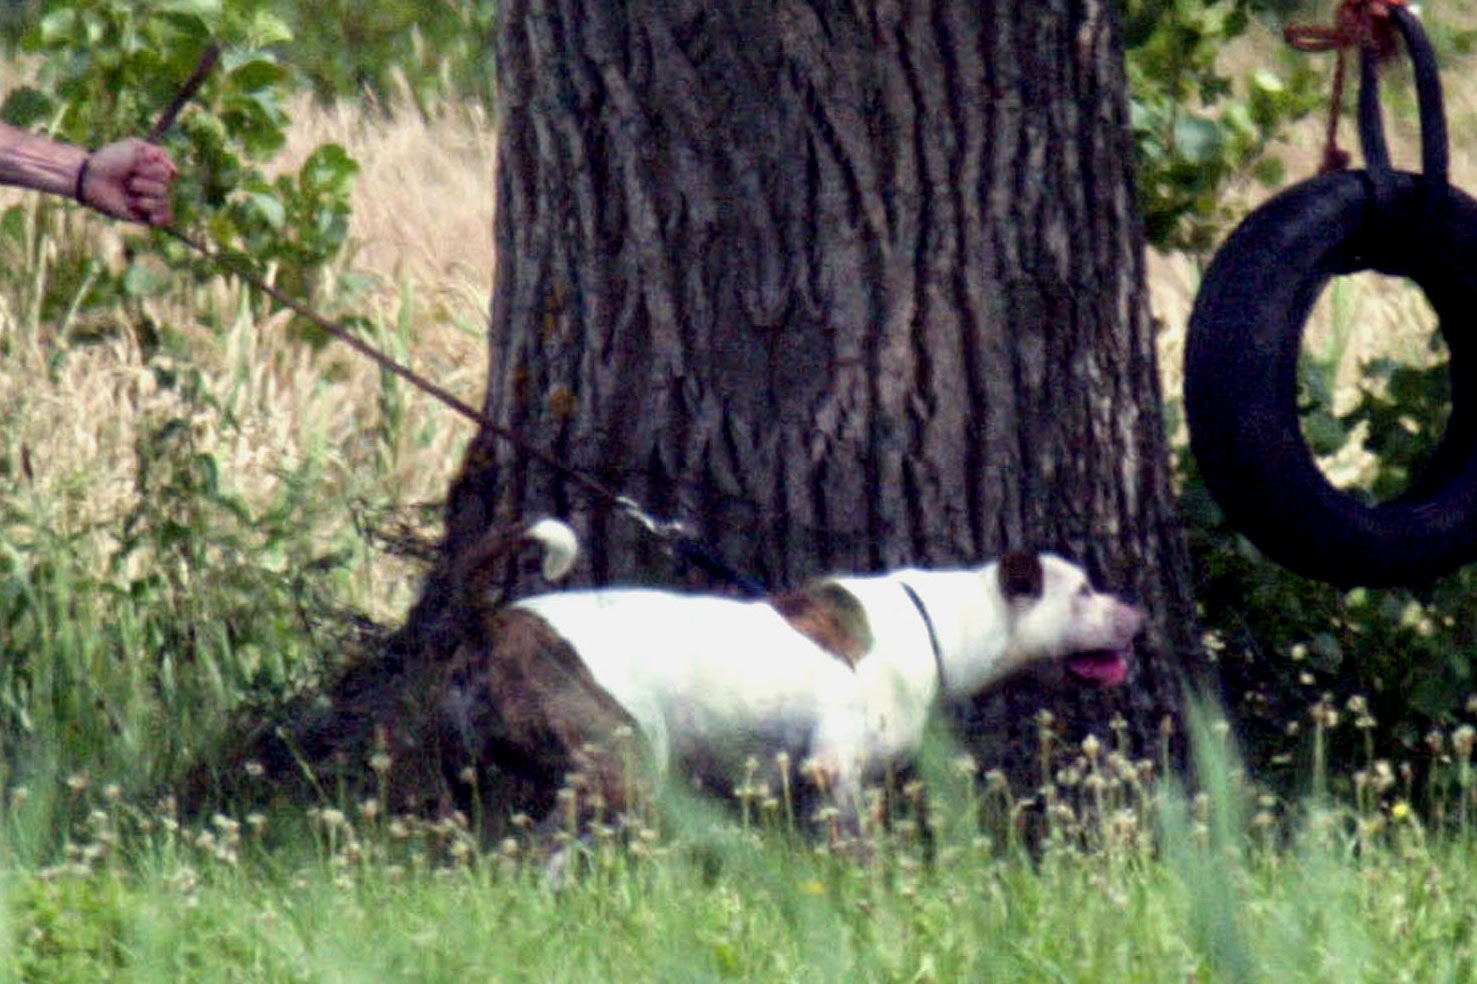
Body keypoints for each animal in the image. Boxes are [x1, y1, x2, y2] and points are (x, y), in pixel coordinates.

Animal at [431, 517, 1146, 833]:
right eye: (1084, 592)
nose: (1137, 615)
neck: (937, 623)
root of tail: (492, 623)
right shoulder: (835, 771)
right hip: (618, 766)